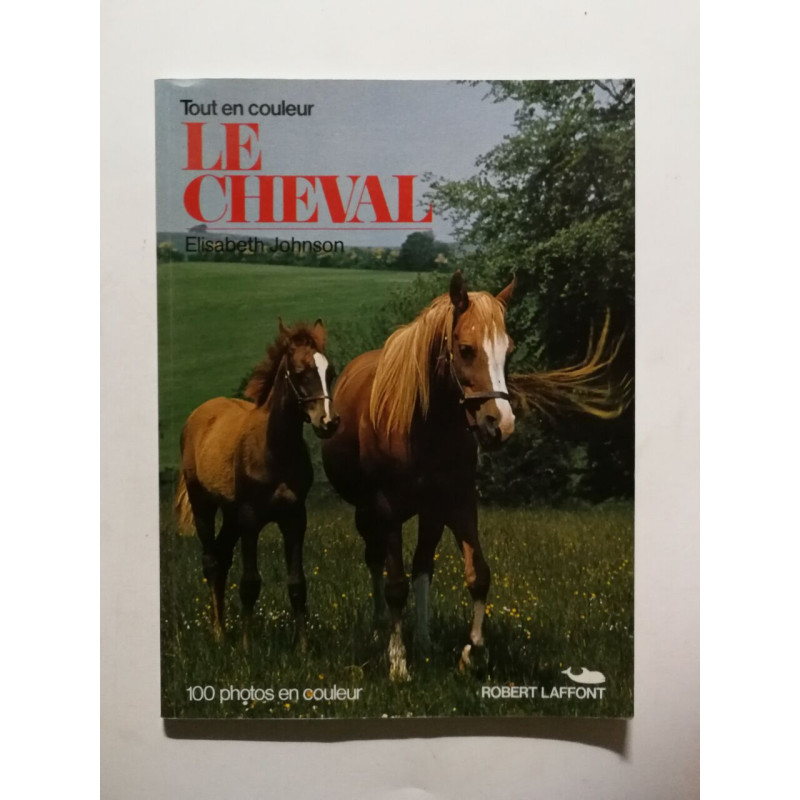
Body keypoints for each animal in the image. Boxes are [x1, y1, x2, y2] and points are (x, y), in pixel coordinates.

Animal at [174, 319, 339, 650]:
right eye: (300, 372)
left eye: (330, 372)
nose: (328, 422)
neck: (273, 449)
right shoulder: (251, 518)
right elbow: (250, 582)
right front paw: (246, 647)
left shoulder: (294, 518)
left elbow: (297, 582)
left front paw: (302, 648)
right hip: (204, 505)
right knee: (211, 561)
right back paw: (219, 634)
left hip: (231, 515)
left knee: (223, 556)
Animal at [321, 270, 624, 680]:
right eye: (465, 349)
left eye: (509, 351)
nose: (500, 424)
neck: (423, 425)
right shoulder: (387, 509)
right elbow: (394, 584)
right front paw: (398, 663)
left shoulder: (457, 501)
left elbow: (477, 574)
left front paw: (472, 651)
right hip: (367, 512)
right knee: (375, 561)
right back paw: (380, 626)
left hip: (429, 514)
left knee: (422, 567)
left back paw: (425, 640)